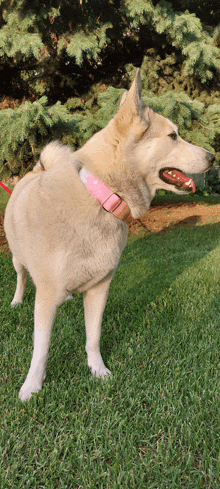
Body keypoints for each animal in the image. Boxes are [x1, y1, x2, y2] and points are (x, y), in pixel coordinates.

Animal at [3, 68, 215, 398]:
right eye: (173, 136)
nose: (212, 157)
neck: (101, 196)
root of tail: (37, 170)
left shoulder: (100, 288)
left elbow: (93, 336)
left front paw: (97, 370)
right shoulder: (47, 296)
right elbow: (41, 347)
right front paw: (32, 386)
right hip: (17, 258)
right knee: (22, 277)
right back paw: (16, 300)